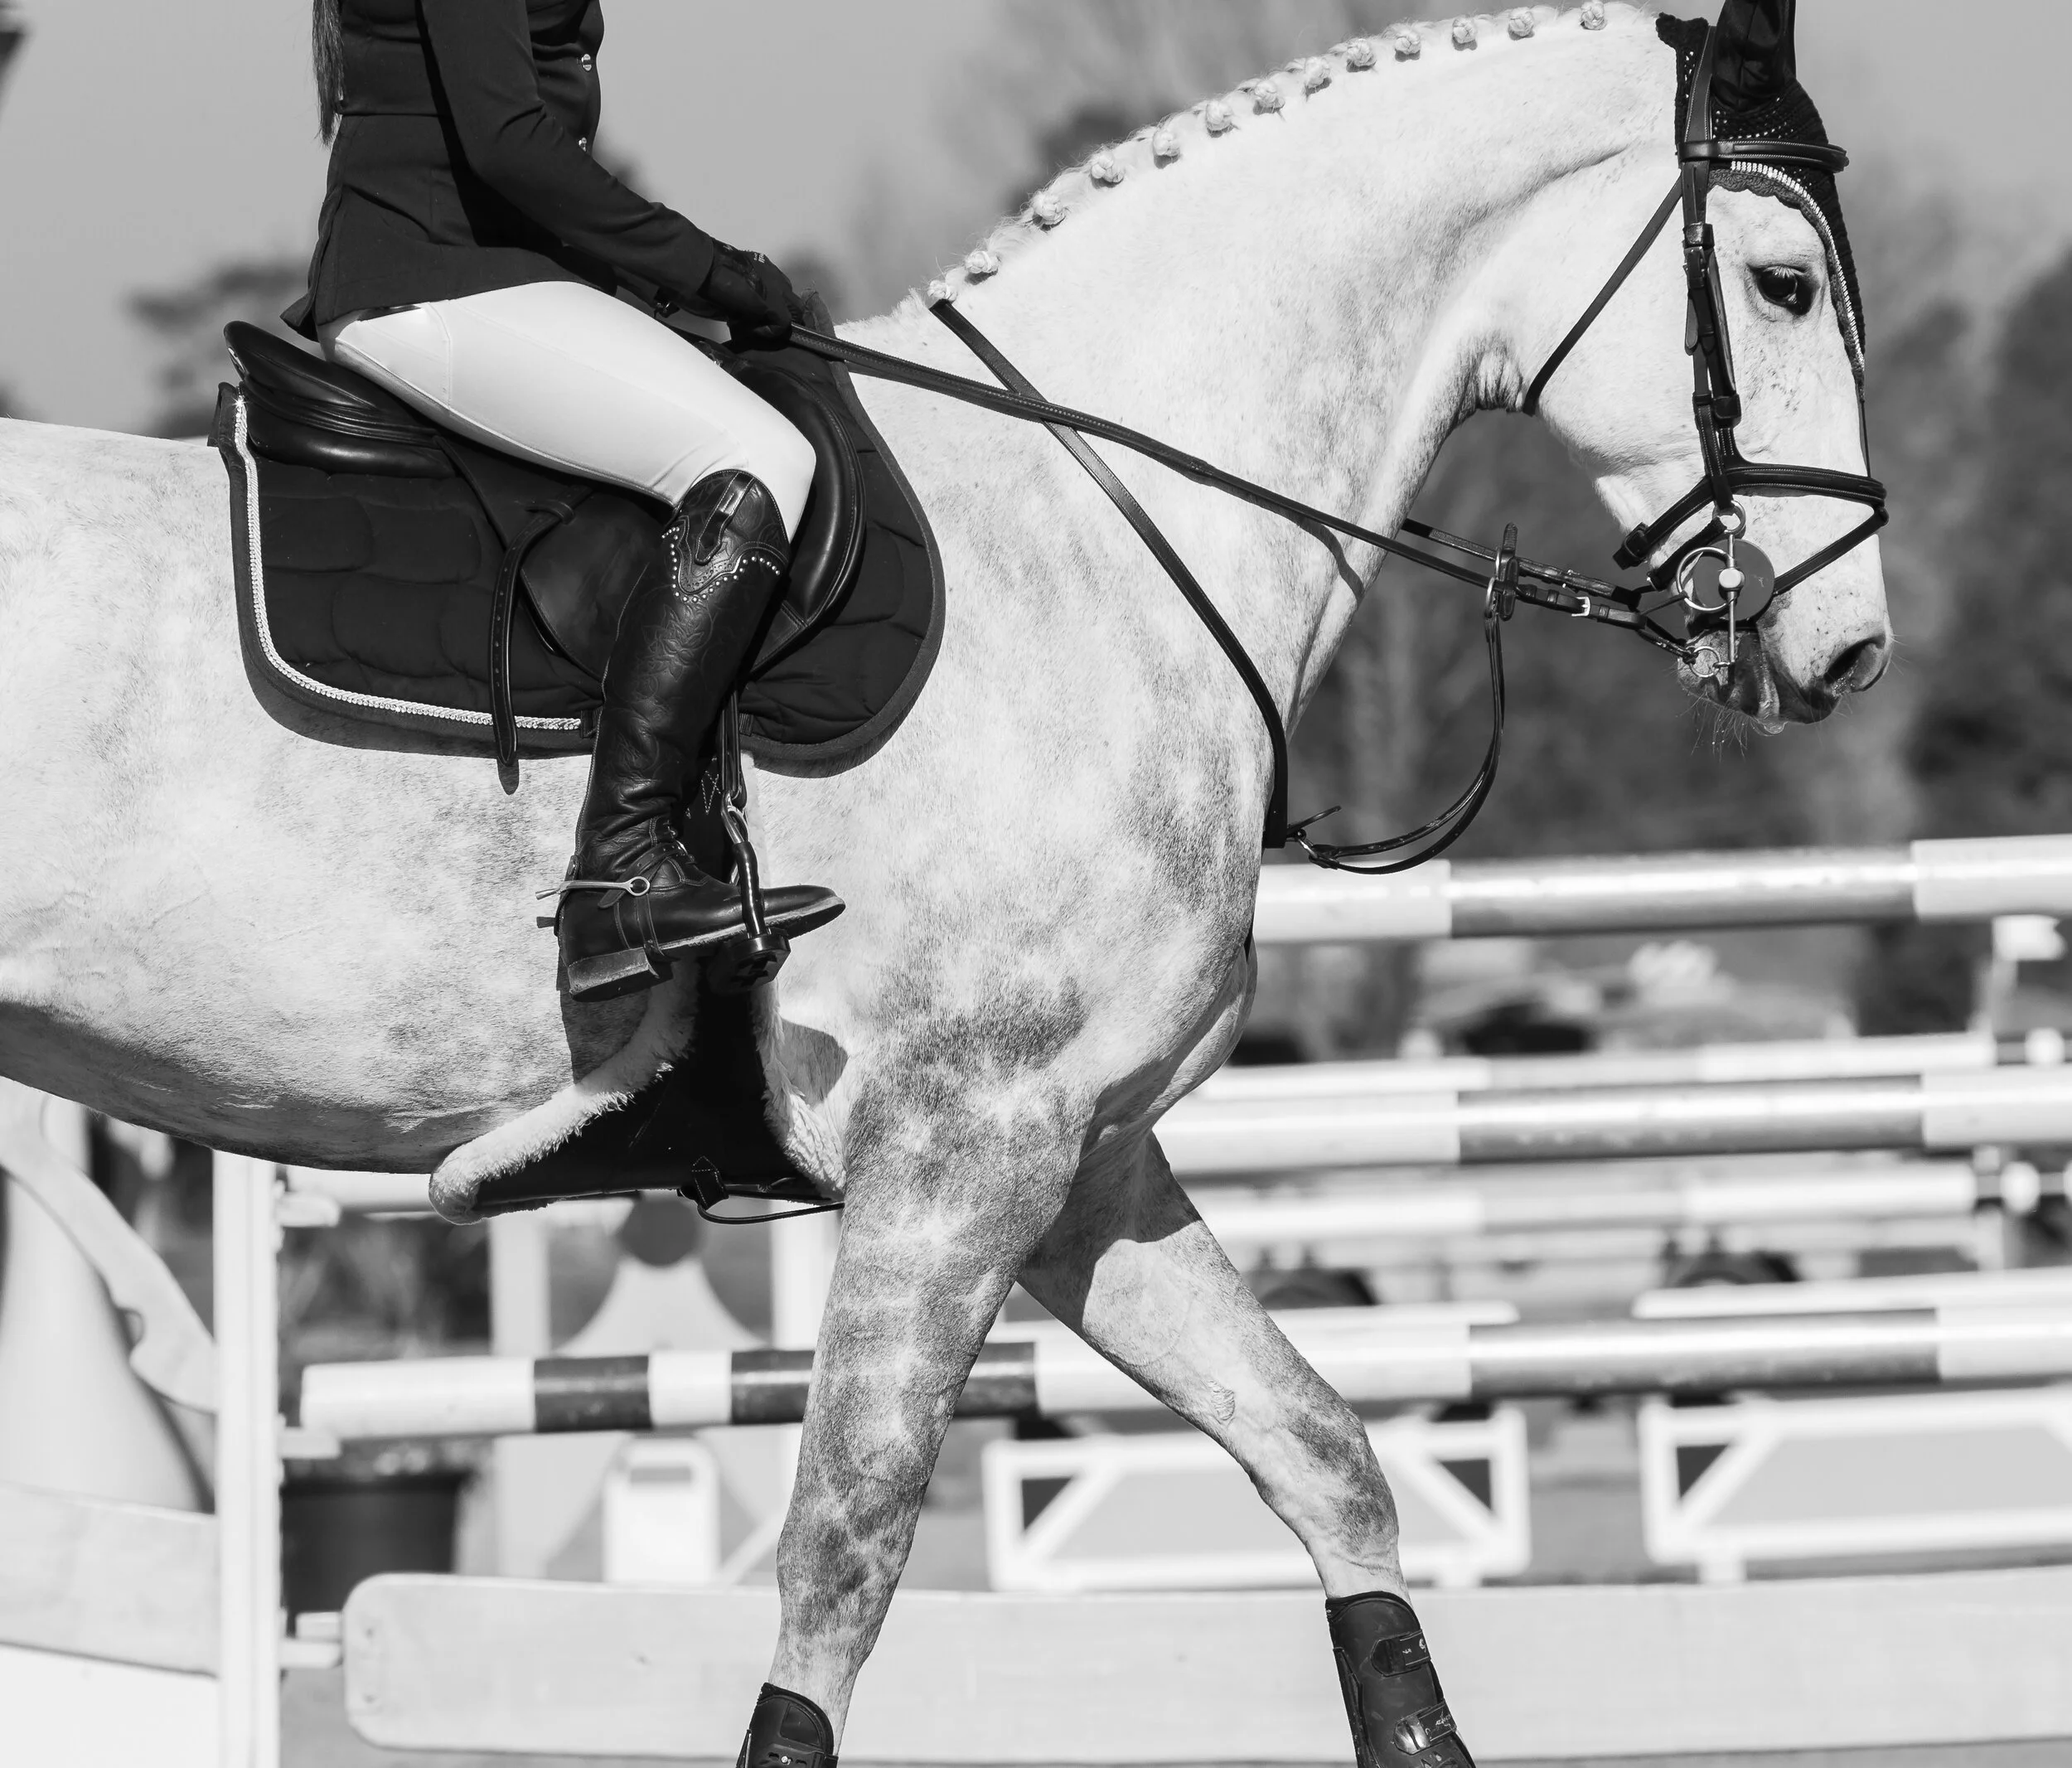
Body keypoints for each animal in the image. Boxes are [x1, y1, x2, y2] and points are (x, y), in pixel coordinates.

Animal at [0, 4, 1886, 1755]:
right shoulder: (957, 1152)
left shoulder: (1083, 1155)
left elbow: (1326, 1455)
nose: (1846, 648)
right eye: (1784, 283)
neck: (1096, 522)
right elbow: (845, 1546)